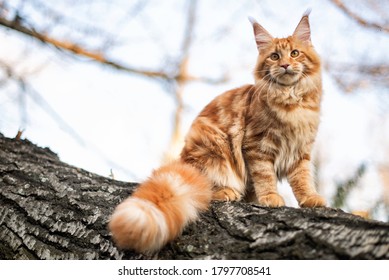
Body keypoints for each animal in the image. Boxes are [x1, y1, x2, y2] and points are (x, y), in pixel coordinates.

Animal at [108, 9, 324, 253]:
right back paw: (227, 192)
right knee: (209, 187)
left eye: (295, 53)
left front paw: (310, 198)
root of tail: (184, 161)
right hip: (214, 147)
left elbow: (302, 179)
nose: (286, 65)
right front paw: (270, 196)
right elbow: (265, 175)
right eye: (275, 57)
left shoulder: (301, 150)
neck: (292, 102)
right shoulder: (257, 146)